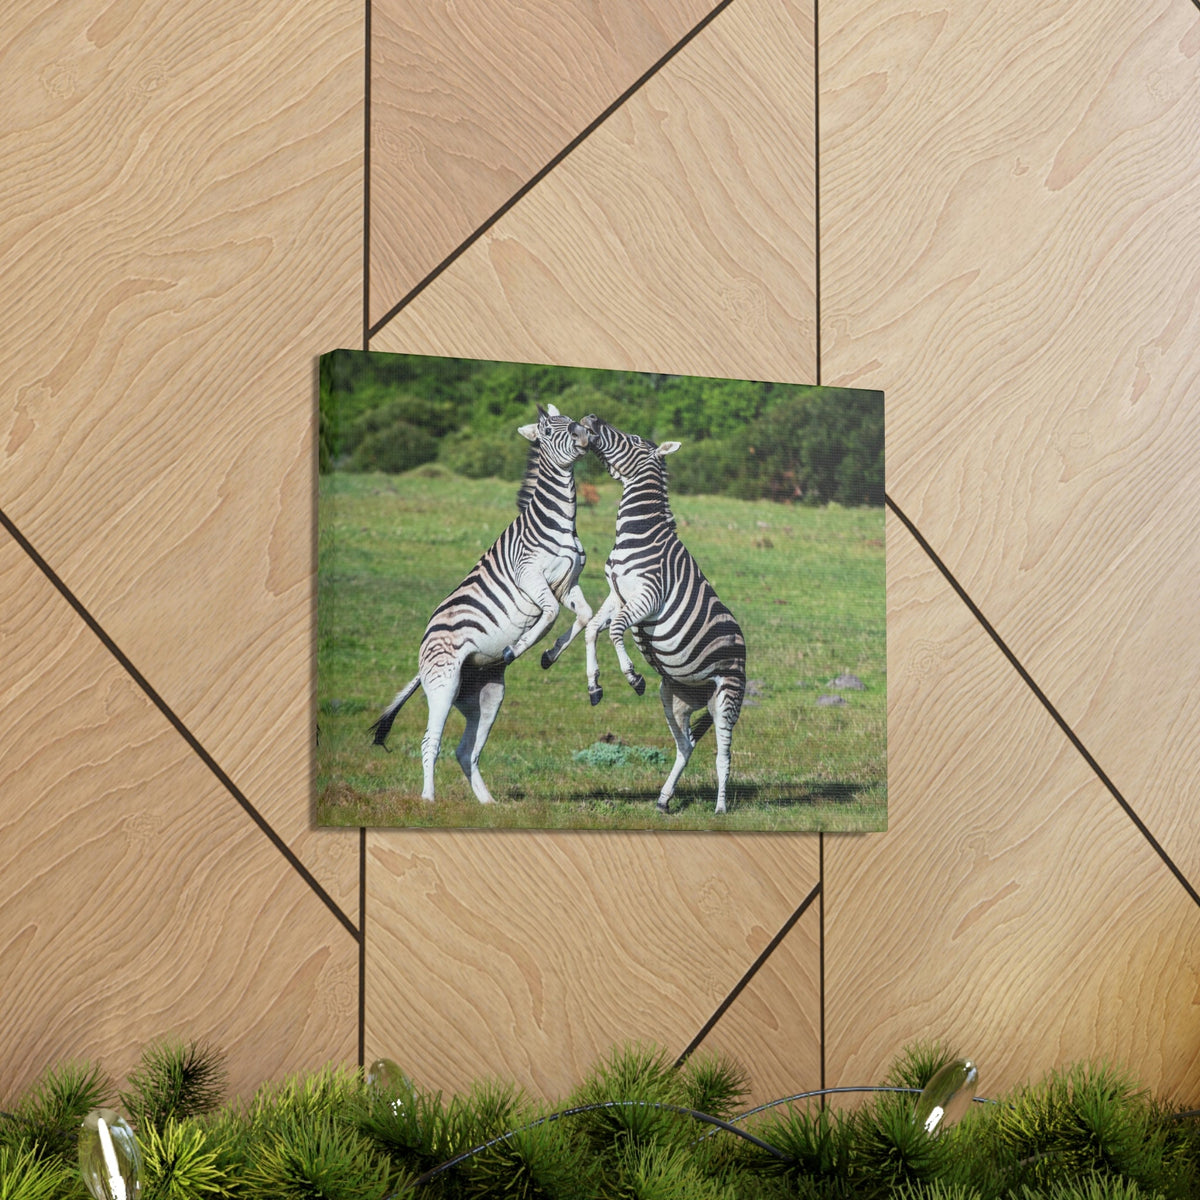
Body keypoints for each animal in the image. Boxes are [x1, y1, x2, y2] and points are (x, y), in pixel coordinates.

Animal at [369, 405, 592, 804]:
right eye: (551, 430)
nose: (584, 434)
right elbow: (550, 615)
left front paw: (549, 655)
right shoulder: (530, 577)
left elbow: (584, 614)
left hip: (485, 695)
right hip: (443, 684)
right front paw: (519, 646)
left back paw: (487, 803)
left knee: (466, 750)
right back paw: (428, 799)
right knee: (430, 741)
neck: (561, 522)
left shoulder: (568, 584)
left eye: (571, 421)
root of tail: (424, 647)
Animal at [578, 414, 746, 814]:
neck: (638, 531)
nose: (590, 419)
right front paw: (594, 684)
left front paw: (631, 675)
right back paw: (664, 799)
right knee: (685, 745)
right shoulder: (617, 593)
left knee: (723, 754)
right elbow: (593, 629)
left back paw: (720, 808)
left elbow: (616, 630)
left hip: (727, 697)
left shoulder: (648, 597)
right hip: (675, 697)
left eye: (635, 439)